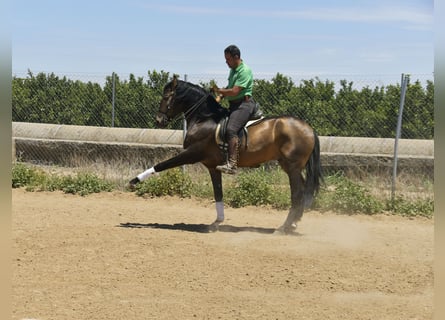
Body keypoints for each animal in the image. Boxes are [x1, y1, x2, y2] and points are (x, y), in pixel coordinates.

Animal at [126, 76, 320, 234]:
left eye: (166, 97)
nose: (159, 120)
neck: (204, 118)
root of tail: (309, 128)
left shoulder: (191, 154)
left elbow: (161, 164)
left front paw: (134, 181)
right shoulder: (212, 166)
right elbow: (218, 193)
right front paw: (217, 223)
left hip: (292, 167)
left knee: (297, 194)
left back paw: (284, 227)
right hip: (290, 166)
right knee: (301, 192)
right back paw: (293, 223)